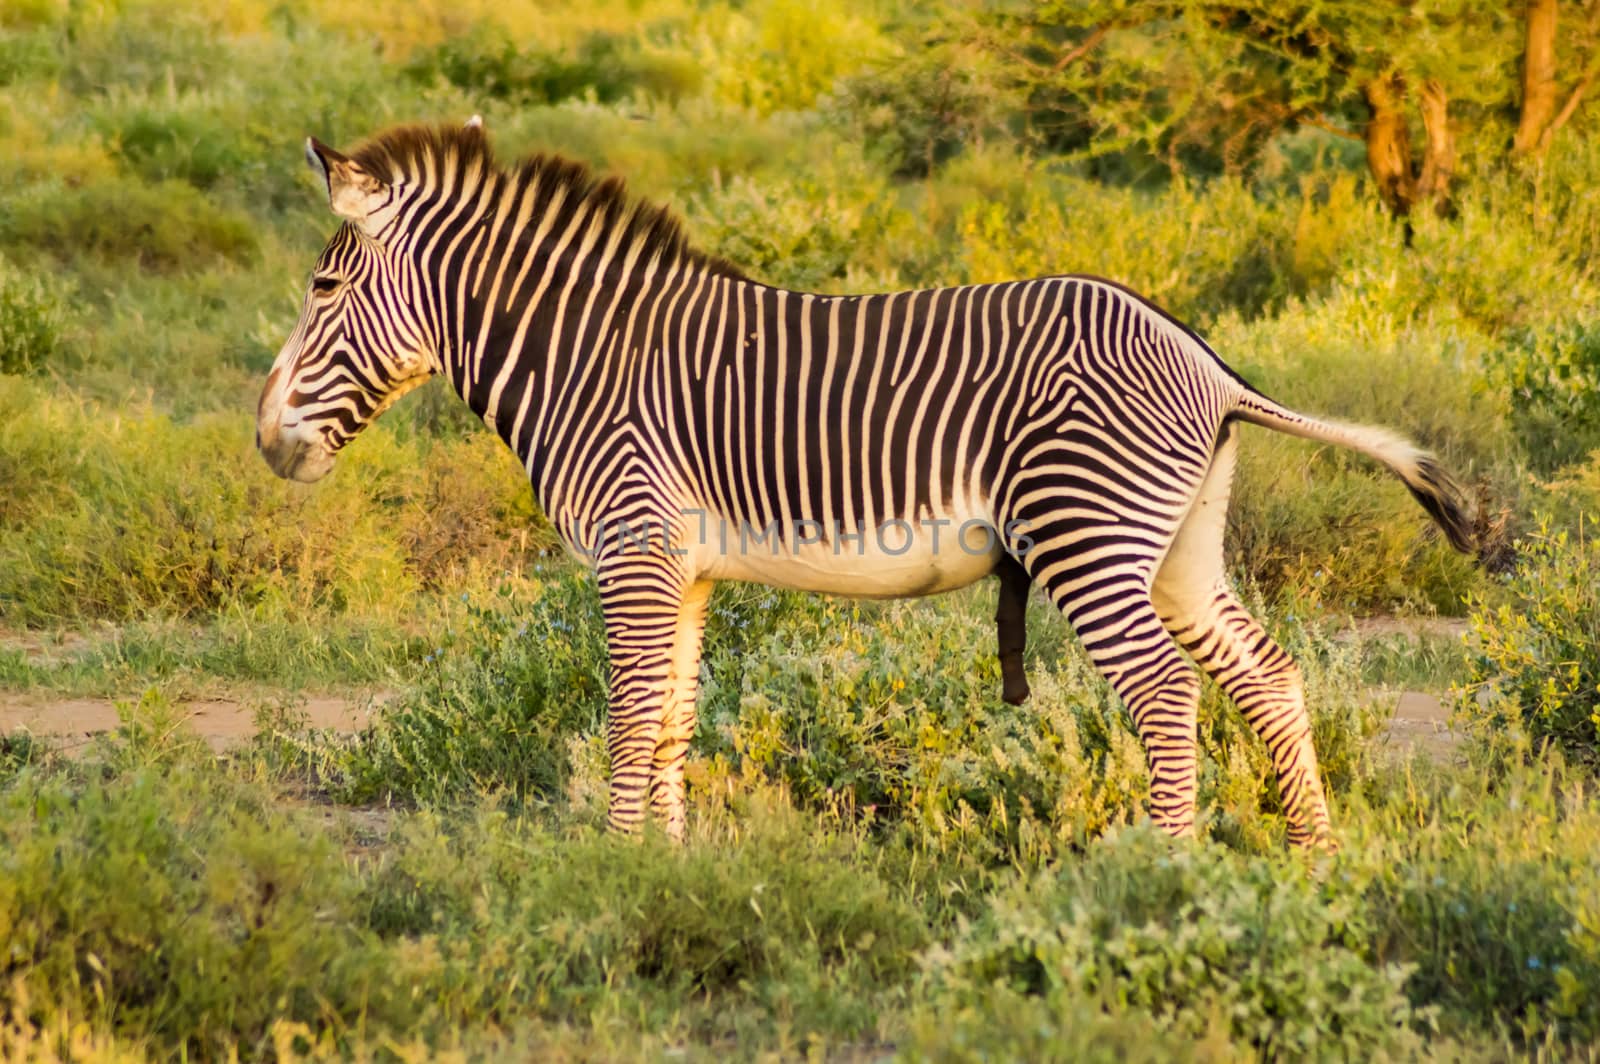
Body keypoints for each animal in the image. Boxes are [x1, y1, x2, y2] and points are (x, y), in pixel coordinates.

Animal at [259, 118, 1472, 844]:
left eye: (320, 286)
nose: (267, 442)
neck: (587, 357)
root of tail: (1207, 361)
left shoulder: (632, 549)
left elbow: (626, 719)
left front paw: (609, 869)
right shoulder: (682, 570)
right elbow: (670, 723)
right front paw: (661, 873)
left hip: (1086, 536)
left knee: (1168, 696)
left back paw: (1166, 880)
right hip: (1176, 546)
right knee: (1268, 677)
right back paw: (1305, 869)